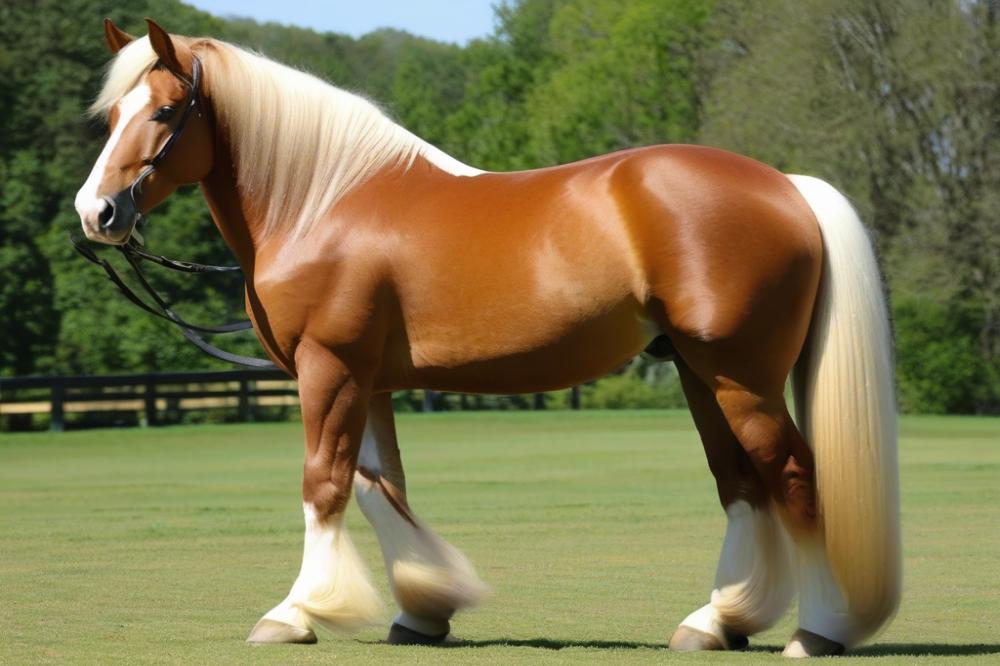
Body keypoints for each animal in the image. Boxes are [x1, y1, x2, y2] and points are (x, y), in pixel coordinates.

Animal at [74, 19, 904, 652]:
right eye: (111, 117)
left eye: (163, 112)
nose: (96, 213)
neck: (321, 202)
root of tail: (787, 185)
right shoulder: (370, 382)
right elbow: (380, 487)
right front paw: (426, 606)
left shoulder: (329, 369)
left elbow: (325, 484)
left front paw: (298, 611)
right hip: (702, 374)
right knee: (742, 485)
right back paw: (717, 622)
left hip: (741, 377)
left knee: (793, 478)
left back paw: (818, 629)